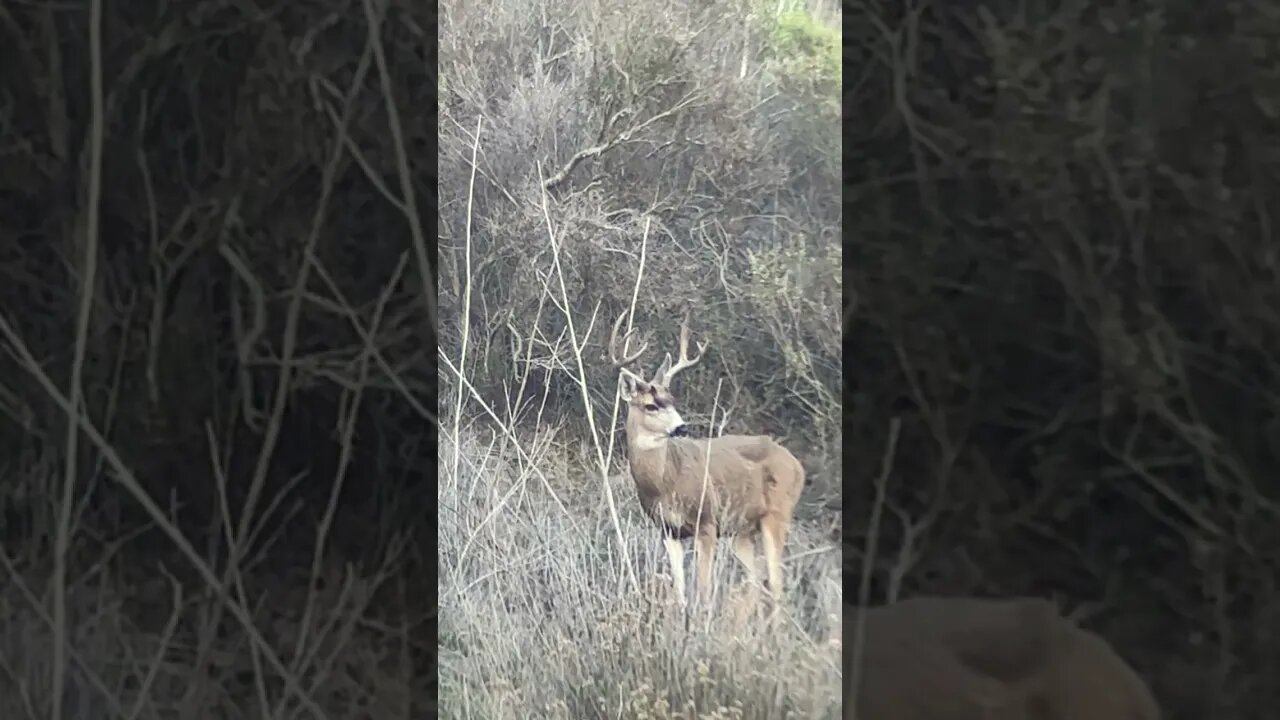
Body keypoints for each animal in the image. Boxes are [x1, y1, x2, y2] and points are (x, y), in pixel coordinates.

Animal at [608, 310, 806, 608]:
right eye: (651, 405)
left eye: (672, 399)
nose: (682, 427)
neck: (665, 482)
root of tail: (798, 465)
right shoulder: (668, 530)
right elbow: (680, 592)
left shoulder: (708, 520)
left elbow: (704, 589)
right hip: (742, 530)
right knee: (756, 581)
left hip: (777, 513)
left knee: (777, 584)